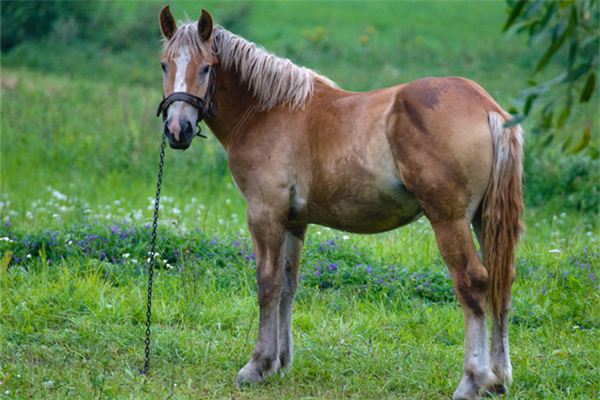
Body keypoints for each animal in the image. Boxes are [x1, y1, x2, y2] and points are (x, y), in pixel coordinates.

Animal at [157, 7, 524, 400]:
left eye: (206, 67)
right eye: (164, 65)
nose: (178, 130)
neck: (265, 111)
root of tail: (487, 107)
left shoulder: (264, 214)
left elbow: (267, 283)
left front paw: (257, 365)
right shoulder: (293, 221)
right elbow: (288, 285)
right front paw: (279, 362)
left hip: (449, 221)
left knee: (473, 283)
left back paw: (473, 379)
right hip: (484, 221)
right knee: (501, 281)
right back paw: (498, 378)